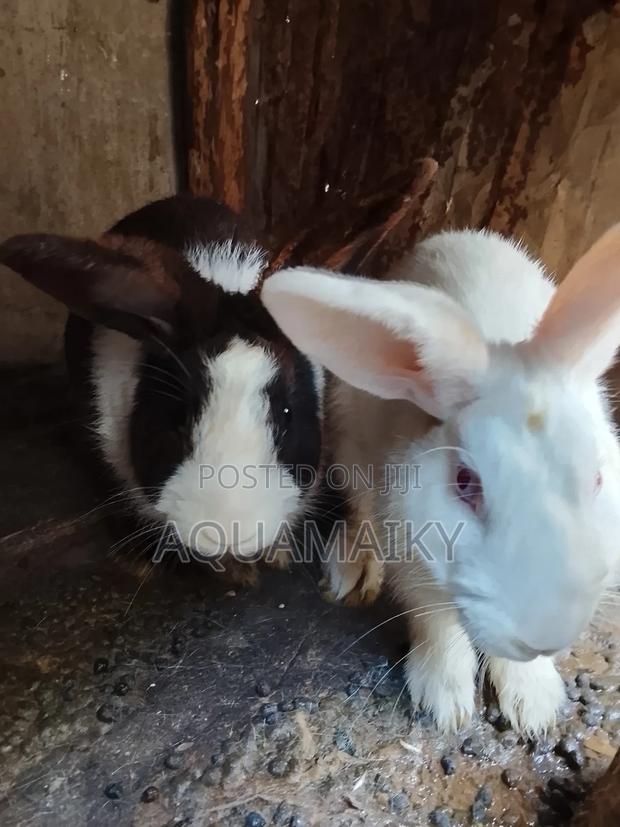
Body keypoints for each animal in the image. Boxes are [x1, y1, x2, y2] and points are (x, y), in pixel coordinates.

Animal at [261, 225, 620, 734]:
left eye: (596, 477)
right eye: (465, 482)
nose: (546, 634)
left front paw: (534, 705)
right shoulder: (415, 568)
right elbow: (437, 624)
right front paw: (444, 701)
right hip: (349, 433)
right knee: (358, 507)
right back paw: (351, 564)